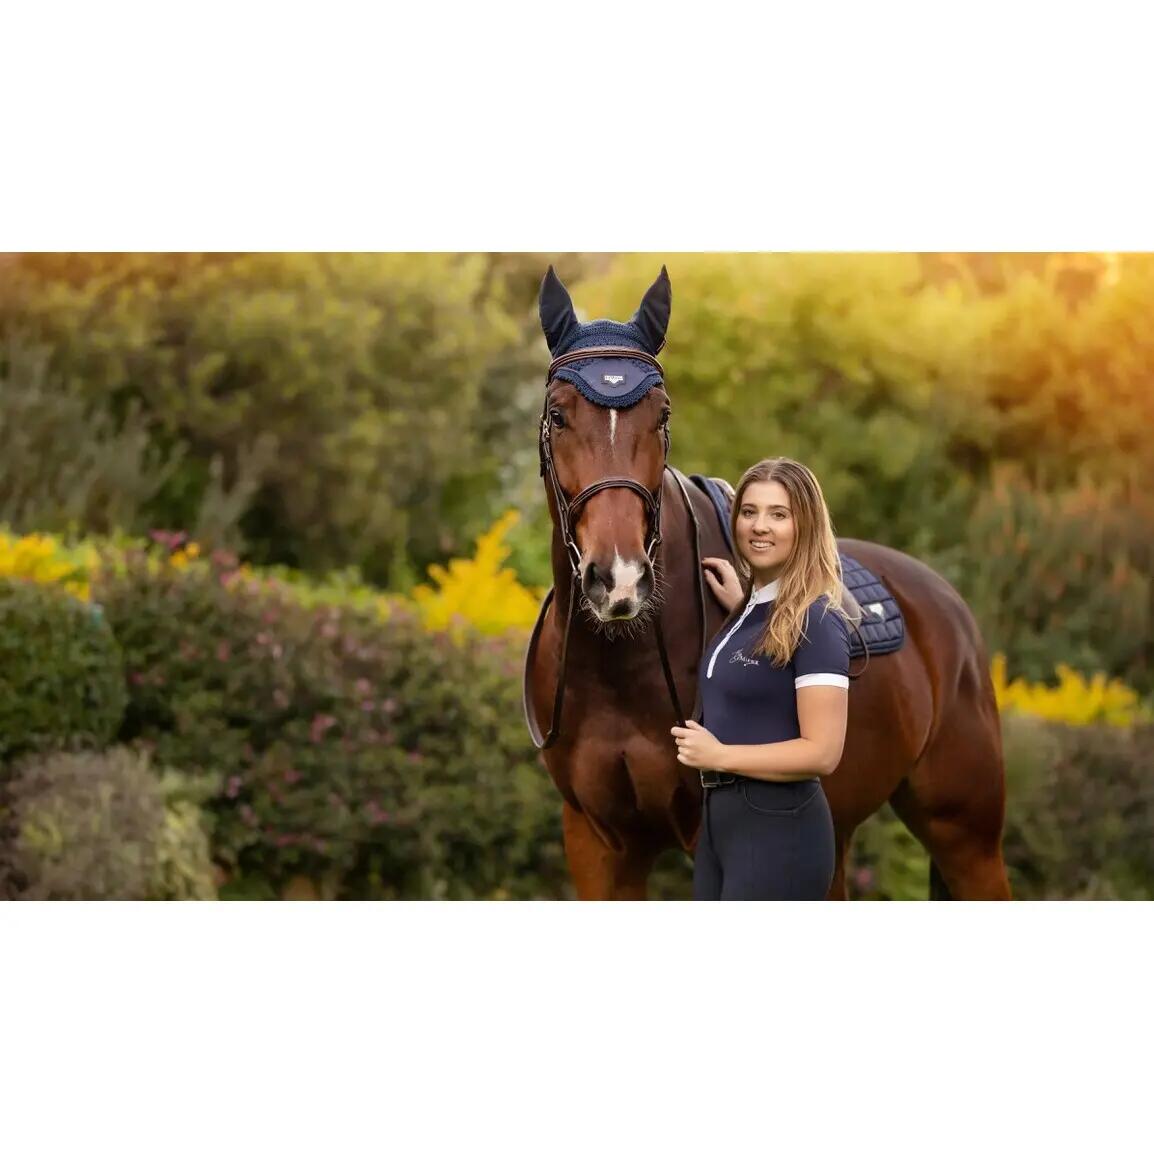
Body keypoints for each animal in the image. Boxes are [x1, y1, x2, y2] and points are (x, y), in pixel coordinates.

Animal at [522, 265, 1012, 900]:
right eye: (558, 415)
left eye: (662, 415)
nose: (619, 578)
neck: (619, 671)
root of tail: (945, 602)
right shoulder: (600, 845)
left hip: (968, 839)